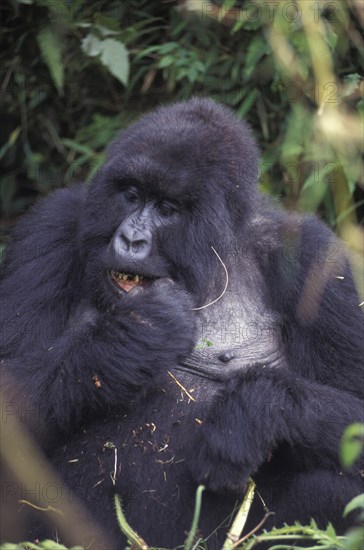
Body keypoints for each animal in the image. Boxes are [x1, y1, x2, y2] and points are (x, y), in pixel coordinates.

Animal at [0, 98, 364, 548]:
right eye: (131, 195)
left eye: (166, 210)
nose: (131, 240)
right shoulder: (49, 227)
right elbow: (11, 389)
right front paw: (132, 338)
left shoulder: (317, 260)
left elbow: (353, 401)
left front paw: (252, 413)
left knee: (338, 489)